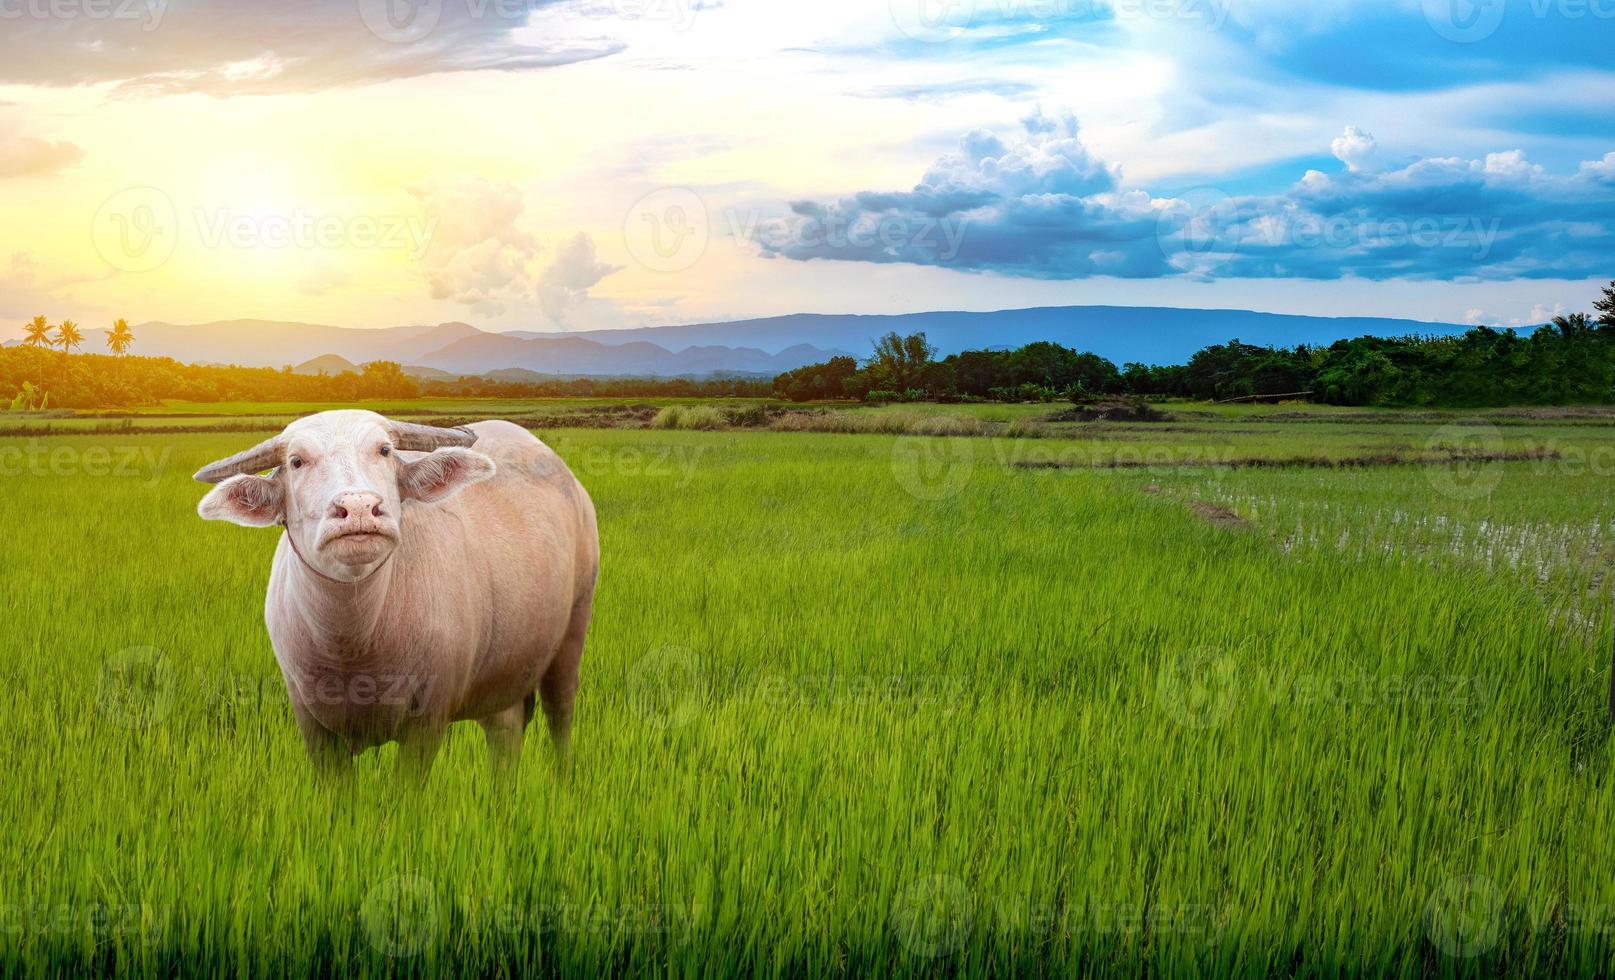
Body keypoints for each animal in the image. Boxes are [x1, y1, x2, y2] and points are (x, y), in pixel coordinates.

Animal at [193, 410, 600, 784]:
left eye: (385, 450)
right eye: (296, 461)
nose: (359, 508)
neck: (353, 644)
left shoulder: (428, 720)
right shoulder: (313, 726)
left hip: (573, 630)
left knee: (560, 715)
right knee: (505, 732)